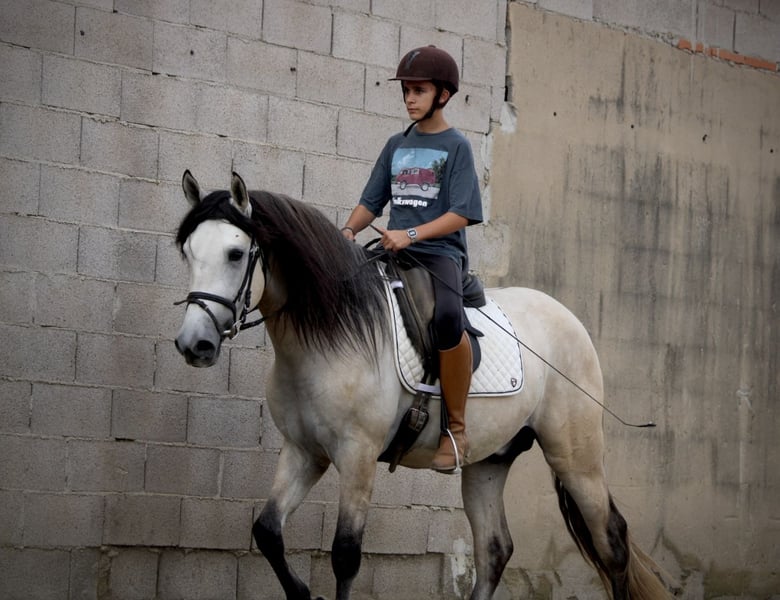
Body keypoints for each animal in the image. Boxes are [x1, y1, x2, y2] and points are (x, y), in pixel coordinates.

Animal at [173, 171, 670, 600]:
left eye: (236, 254)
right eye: (188, 253)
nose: (194, 344)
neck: (328, 338)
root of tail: (569, 319)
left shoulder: (357, 457)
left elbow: (345, 556)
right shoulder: (304, 452)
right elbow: (267, 532)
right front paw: (303, 593)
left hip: (576, 458)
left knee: (612, 542)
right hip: (488, 462)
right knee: (495, 549)